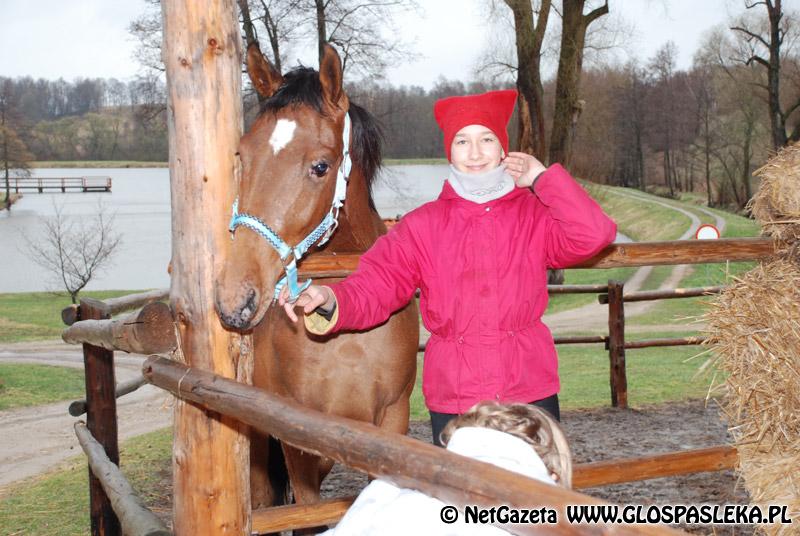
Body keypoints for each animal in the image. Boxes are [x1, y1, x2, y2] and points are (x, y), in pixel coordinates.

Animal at [216, 44, 422, 512]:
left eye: (321, 166)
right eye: (242, 157)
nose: (235, 299)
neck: (346, 339)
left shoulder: (389, 424)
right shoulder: (297, 438)